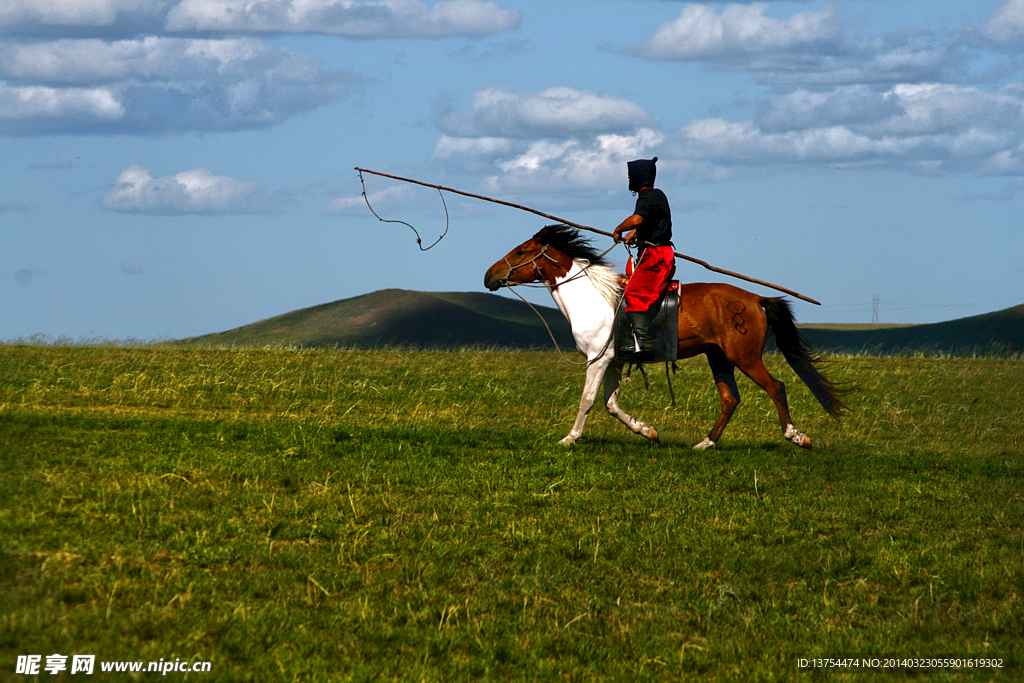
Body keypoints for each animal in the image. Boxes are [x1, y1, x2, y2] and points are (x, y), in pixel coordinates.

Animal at [483, 223, 851, 448]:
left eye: (520, 251)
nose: (489, 276)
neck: (593, 298)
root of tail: (755, 299)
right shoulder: (614, 362)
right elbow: (611, 404)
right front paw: (648, 431)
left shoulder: (597, 360)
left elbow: (588, 400)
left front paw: (570, 438)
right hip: (718, 357)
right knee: (730, 398)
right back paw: (706, 442)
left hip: (744, 357)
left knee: (776, 387)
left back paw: (796, 436)